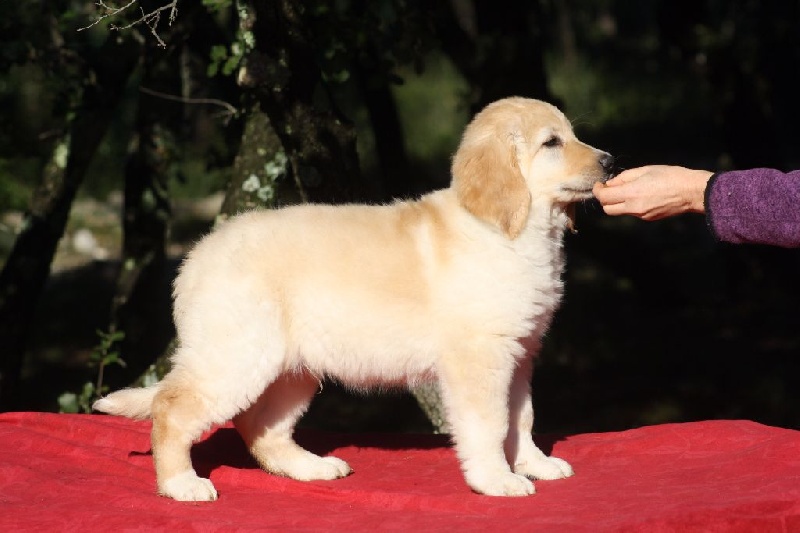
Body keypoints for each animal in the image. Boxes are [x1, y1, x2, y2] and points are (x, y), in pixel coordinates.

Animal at [94, 97, 614, 501]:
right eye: (552, 143)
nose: (610, 161)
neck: (511, 232)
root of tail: (195, 258)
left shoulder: (521, 354)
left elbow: (521, 418)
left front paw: (535, 464)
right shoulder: (480, 359)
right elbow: (490, 424)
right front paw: (497, 481)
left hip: (291, 368)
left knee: (259, 426)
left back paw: (311, 467)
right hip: (236, 355)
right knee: (172, 408)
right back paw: (181, 484)